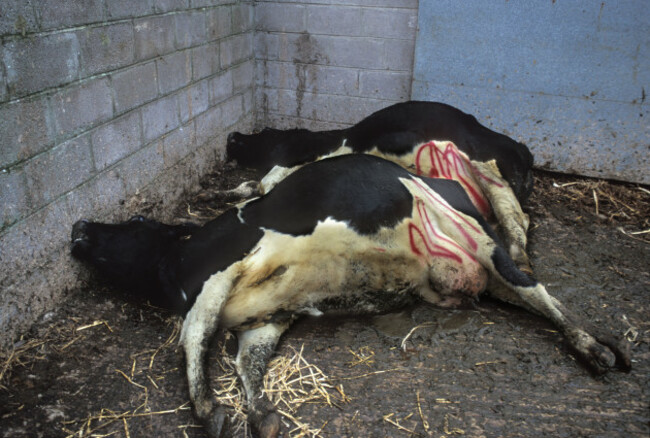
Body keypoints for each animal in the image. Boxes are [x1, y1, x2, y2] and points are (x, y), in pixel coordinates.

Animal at [69, 154, 628, 438]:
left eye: (136, 222)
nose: (78, 226)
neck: (181, 264)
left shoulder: (222, 271)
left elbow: (192, 336)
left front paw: (209, 409)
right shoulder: (264, 319)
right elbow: (247, 363)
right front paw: (259, 414)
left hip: (488, 246)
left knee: (543, 294)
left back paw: (593, 346)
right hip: (486, 271)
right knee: (529, 293)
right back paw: (599, 347)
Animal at [225, 102, 536, 274]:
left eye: (262, 132)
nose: (231, 135)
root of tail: (522, 149)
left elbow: (267, 181)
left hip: (488, 169)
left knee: (514, 218)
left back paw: (520, 258)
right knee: (522, 216)